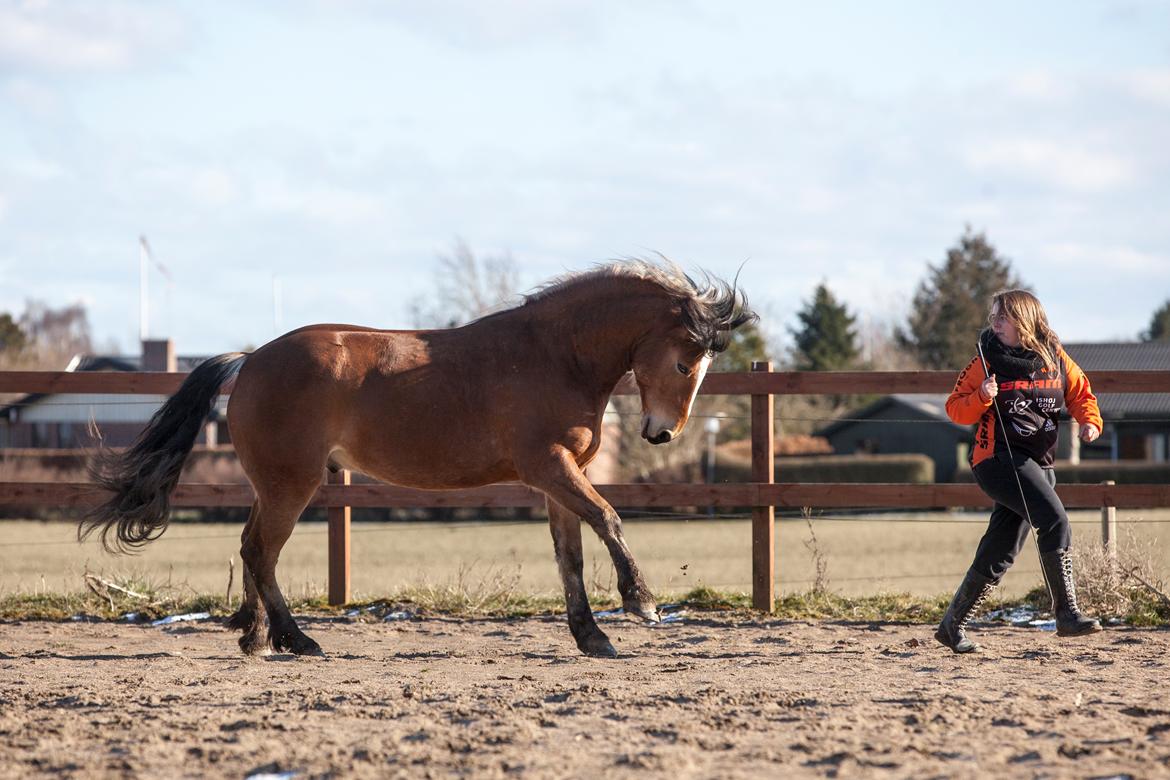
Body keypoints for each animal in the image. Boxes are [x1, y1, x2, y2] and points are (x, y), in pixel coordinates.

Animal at [82, 261, 758, 659]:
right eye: (683, 363)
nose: (662, 434)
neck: (552, 355)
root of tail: (249, 361)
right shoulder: (551, 468)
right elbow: (609, 520)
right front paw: (642, 603)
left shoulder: (557, 479)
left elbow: (569, 553)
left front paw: (592, 637)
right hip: (291, 486)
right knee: (259, 552)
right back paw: (297, 639)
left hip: (272, 485)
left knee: (251, 549)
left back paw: (255, 636)